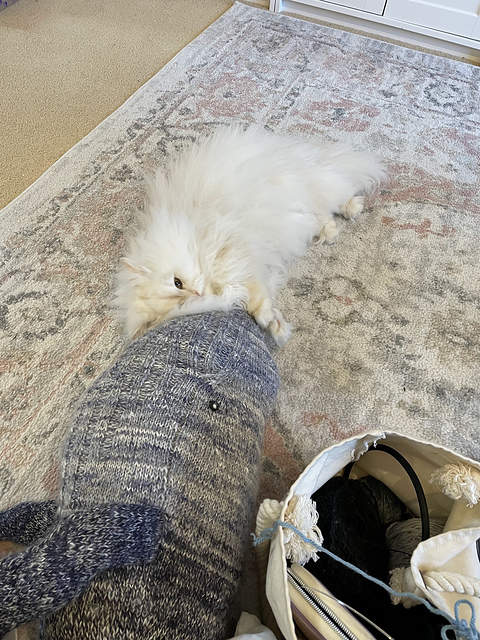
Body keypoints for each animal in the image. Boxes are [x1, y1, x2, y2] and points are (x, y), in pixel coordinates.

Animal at [114, 126, 384, 344]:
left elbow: (256, 294)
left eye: (177, 282)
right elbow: (256, 298)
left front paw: (270, 323)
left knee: (337, 193)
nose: (198, 294)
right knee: (318, 215)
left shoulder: (237, 252)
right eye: (183, 304)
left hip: (308, 185)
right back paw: (330, 232)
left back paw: (352, 209)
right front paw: (275, 326)